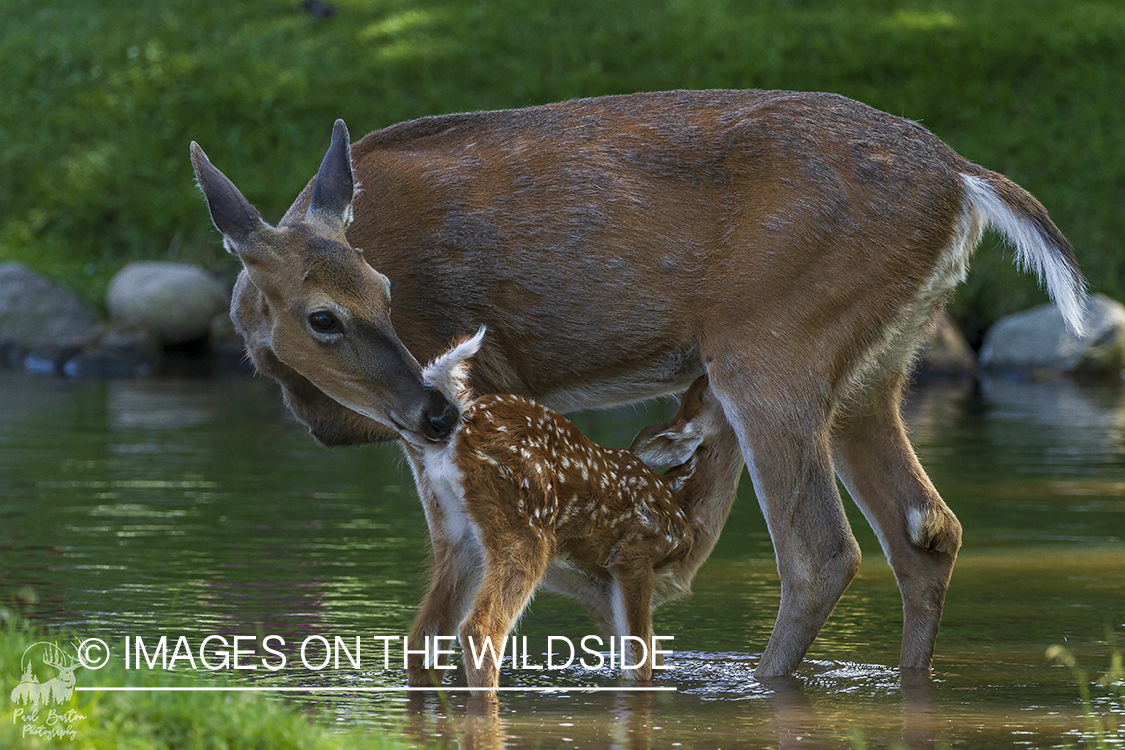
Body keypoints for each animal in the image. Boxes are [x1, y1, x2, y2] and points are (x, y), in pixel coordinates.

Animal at [400, 335, 742, 692]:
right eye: (704, 393)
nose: (705, 371)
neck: (685, 510)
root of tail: (462, 424)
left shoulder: (599, 591)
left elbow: (648, 656)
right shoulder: (634, 555)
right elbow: (640, 664)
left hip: (455, 537)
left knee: (424, 635)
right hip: (524, 528)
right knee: (480, 629)